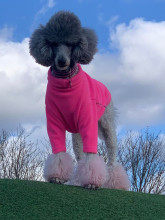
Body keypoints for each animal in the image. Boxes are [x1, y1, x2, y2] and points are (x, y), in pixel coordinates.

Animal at [29, 10, 130, 190]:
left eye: (71, 44)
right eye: (53, 43)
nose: (62, 61)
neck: (65, 83)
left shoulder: (88, 121)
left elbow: (92, 155)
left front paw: (92, 181)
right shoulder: (54, 121)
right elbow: (59, 152)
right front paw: (57, 177)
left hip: (107, 125)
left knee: (112, 154)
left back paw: (114, 181)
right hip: (76, 133)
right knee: (80, 154)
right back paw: (78, 179)